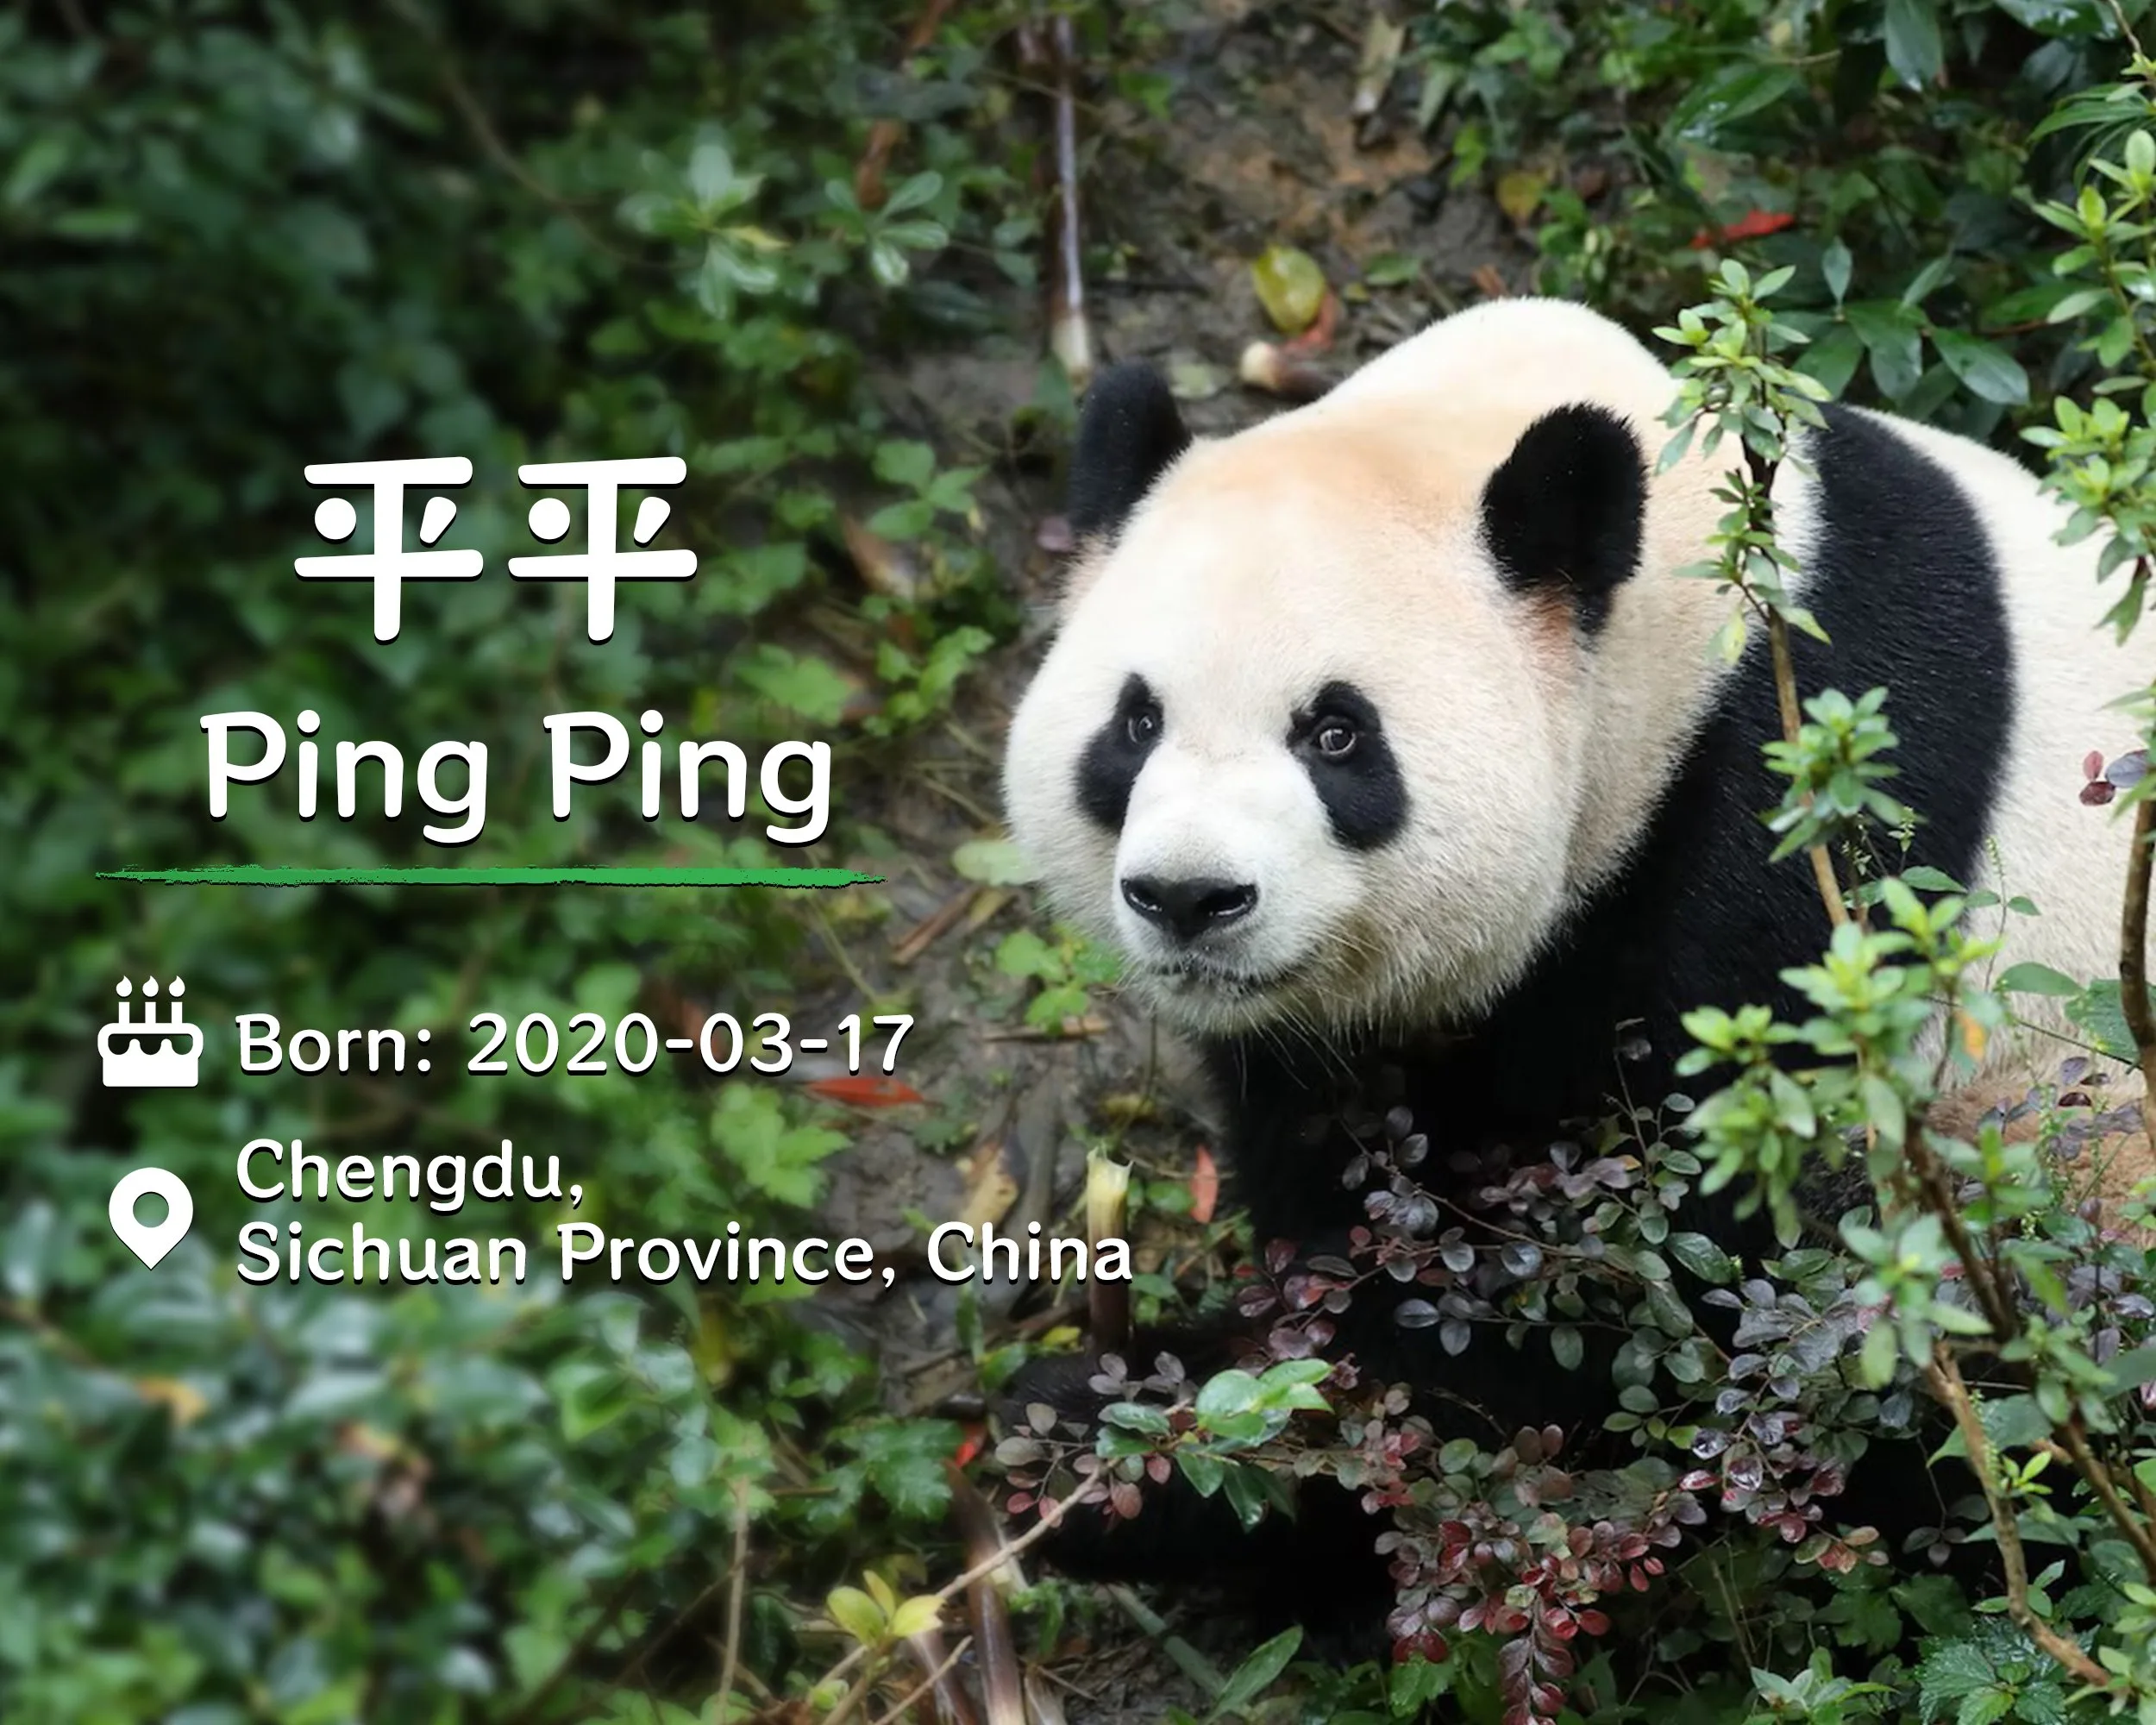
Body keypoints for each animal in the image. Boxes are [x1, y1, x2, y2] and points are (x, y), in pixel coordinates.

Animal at [996, 298, 2149, 1614]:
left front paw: (1152, 1452)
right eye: (1135, 723)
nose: (1189, 897)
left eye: (1337, 735)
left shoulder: (1798, 832)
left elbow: (1628, 1297)